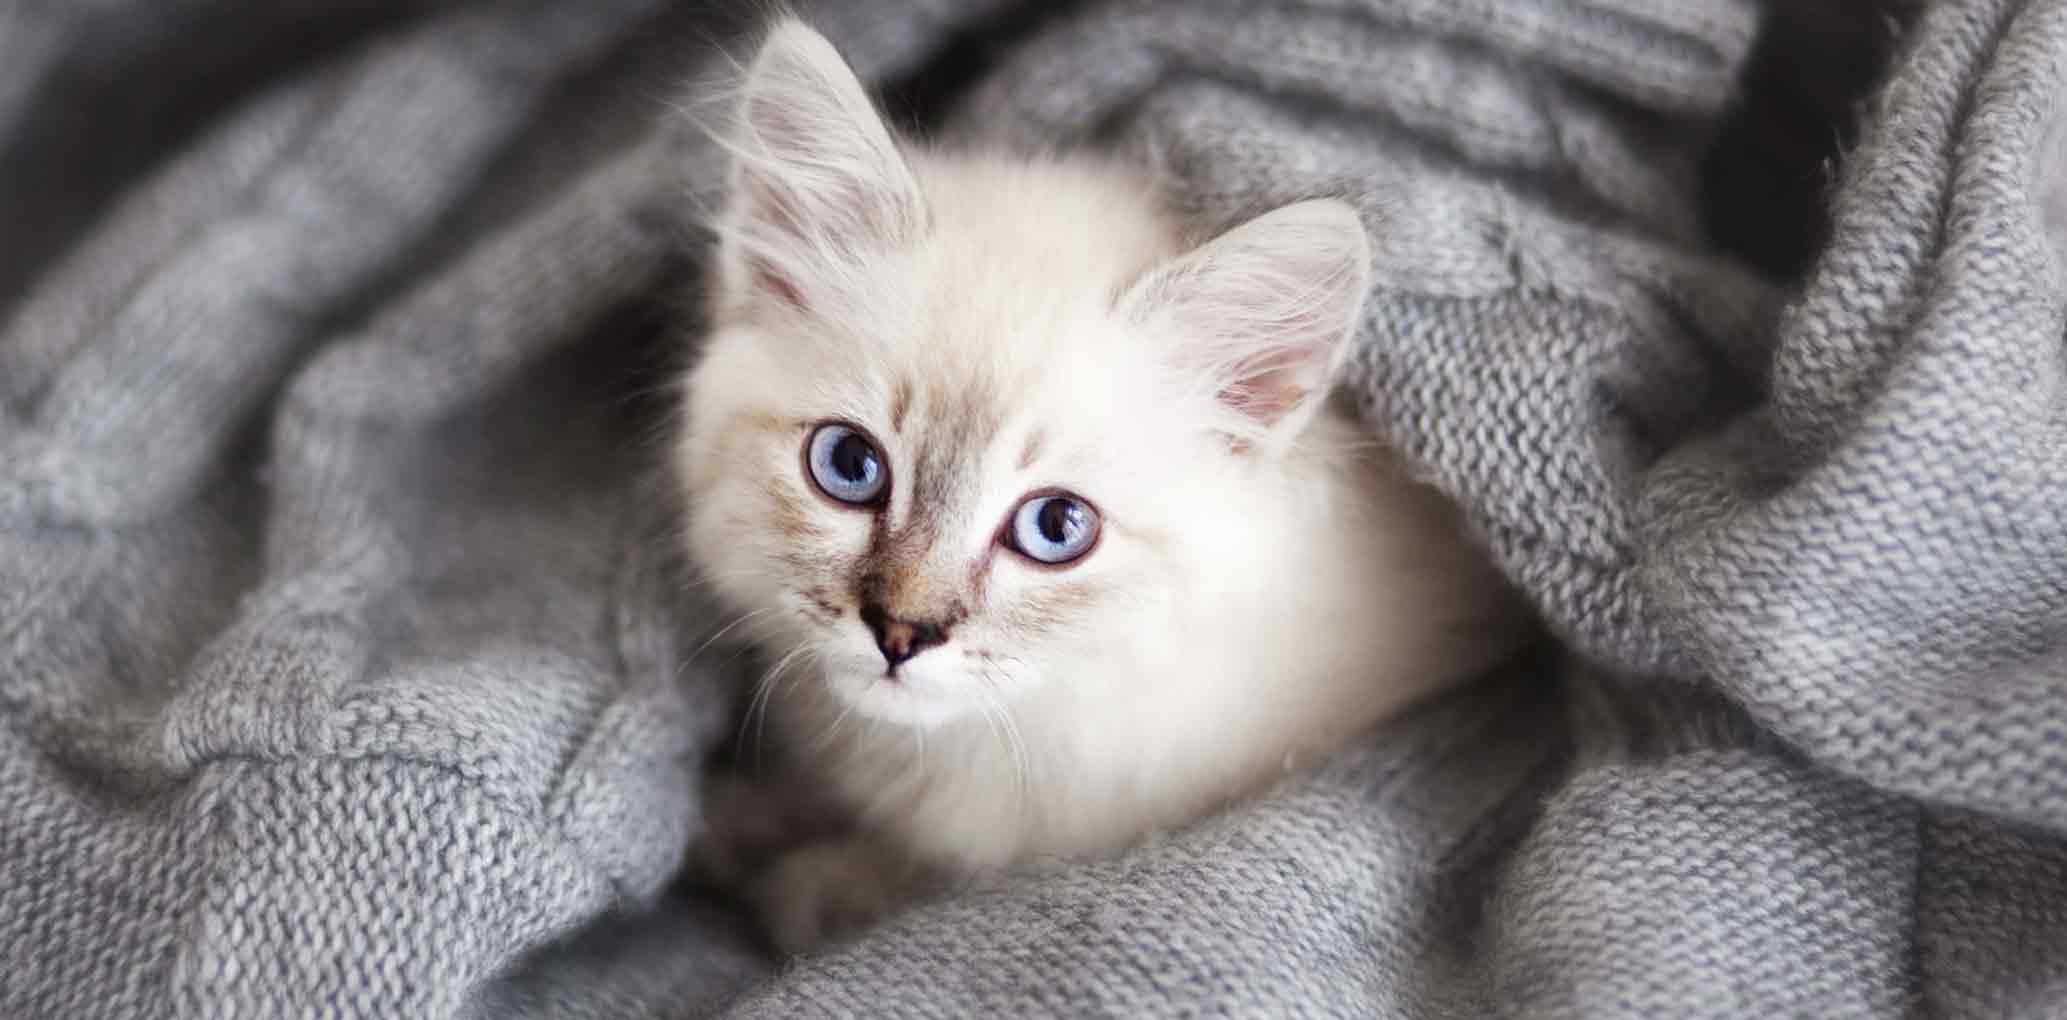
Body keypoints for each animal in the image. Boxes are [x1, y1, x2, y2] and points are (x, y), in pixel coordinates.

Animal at [673, 17, 1521, 955]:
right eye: (849, 467)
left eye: (1055, 527)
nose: (899, 633)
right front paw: (740, 821)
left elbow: (922, 874)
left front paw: (810, 882)